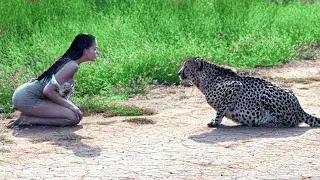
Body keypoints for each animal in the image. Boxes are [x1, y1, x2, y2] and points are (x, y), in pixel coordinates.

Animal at [178, 57, 320, 127]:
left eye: (186, 67)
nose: (178, 73)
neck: (205, 80)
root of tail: (300, 108)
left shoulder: (235, 86)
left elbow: (221, 110)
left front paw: (216, 122)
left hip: (266, 93)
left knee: (289, 122)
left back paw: (264, 122)